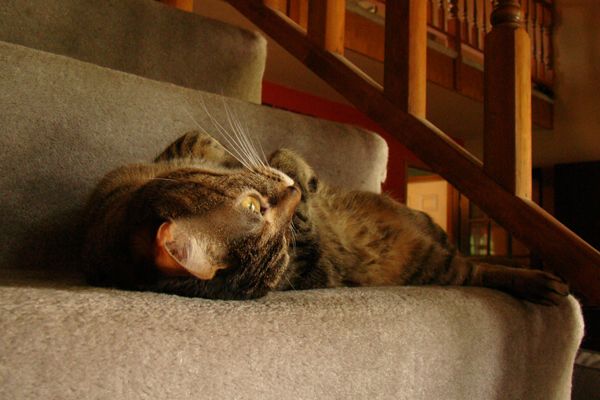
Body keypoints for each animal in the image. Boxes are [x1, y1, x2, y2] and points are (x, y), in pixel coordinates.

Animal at [82, 131, 568, 304]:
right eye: (257, 212)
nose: (296, 192)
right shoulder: (312, 259)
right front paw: (293, 172)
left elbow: (198, 140)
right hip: (437, 266)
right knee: (477, 270)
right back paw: (540, 282)